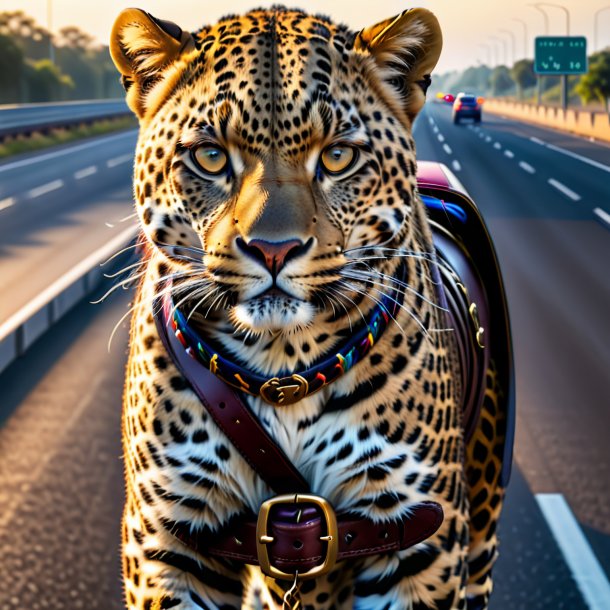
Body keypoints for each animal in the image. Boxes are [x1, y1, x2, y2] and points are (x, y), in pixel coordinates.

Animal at [108, 5, 504, 608]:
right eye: (210, 156)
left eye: (337, 156)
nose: (274, 249)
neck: (282, 368)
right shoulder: (168, 539)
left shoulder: (419, 538)